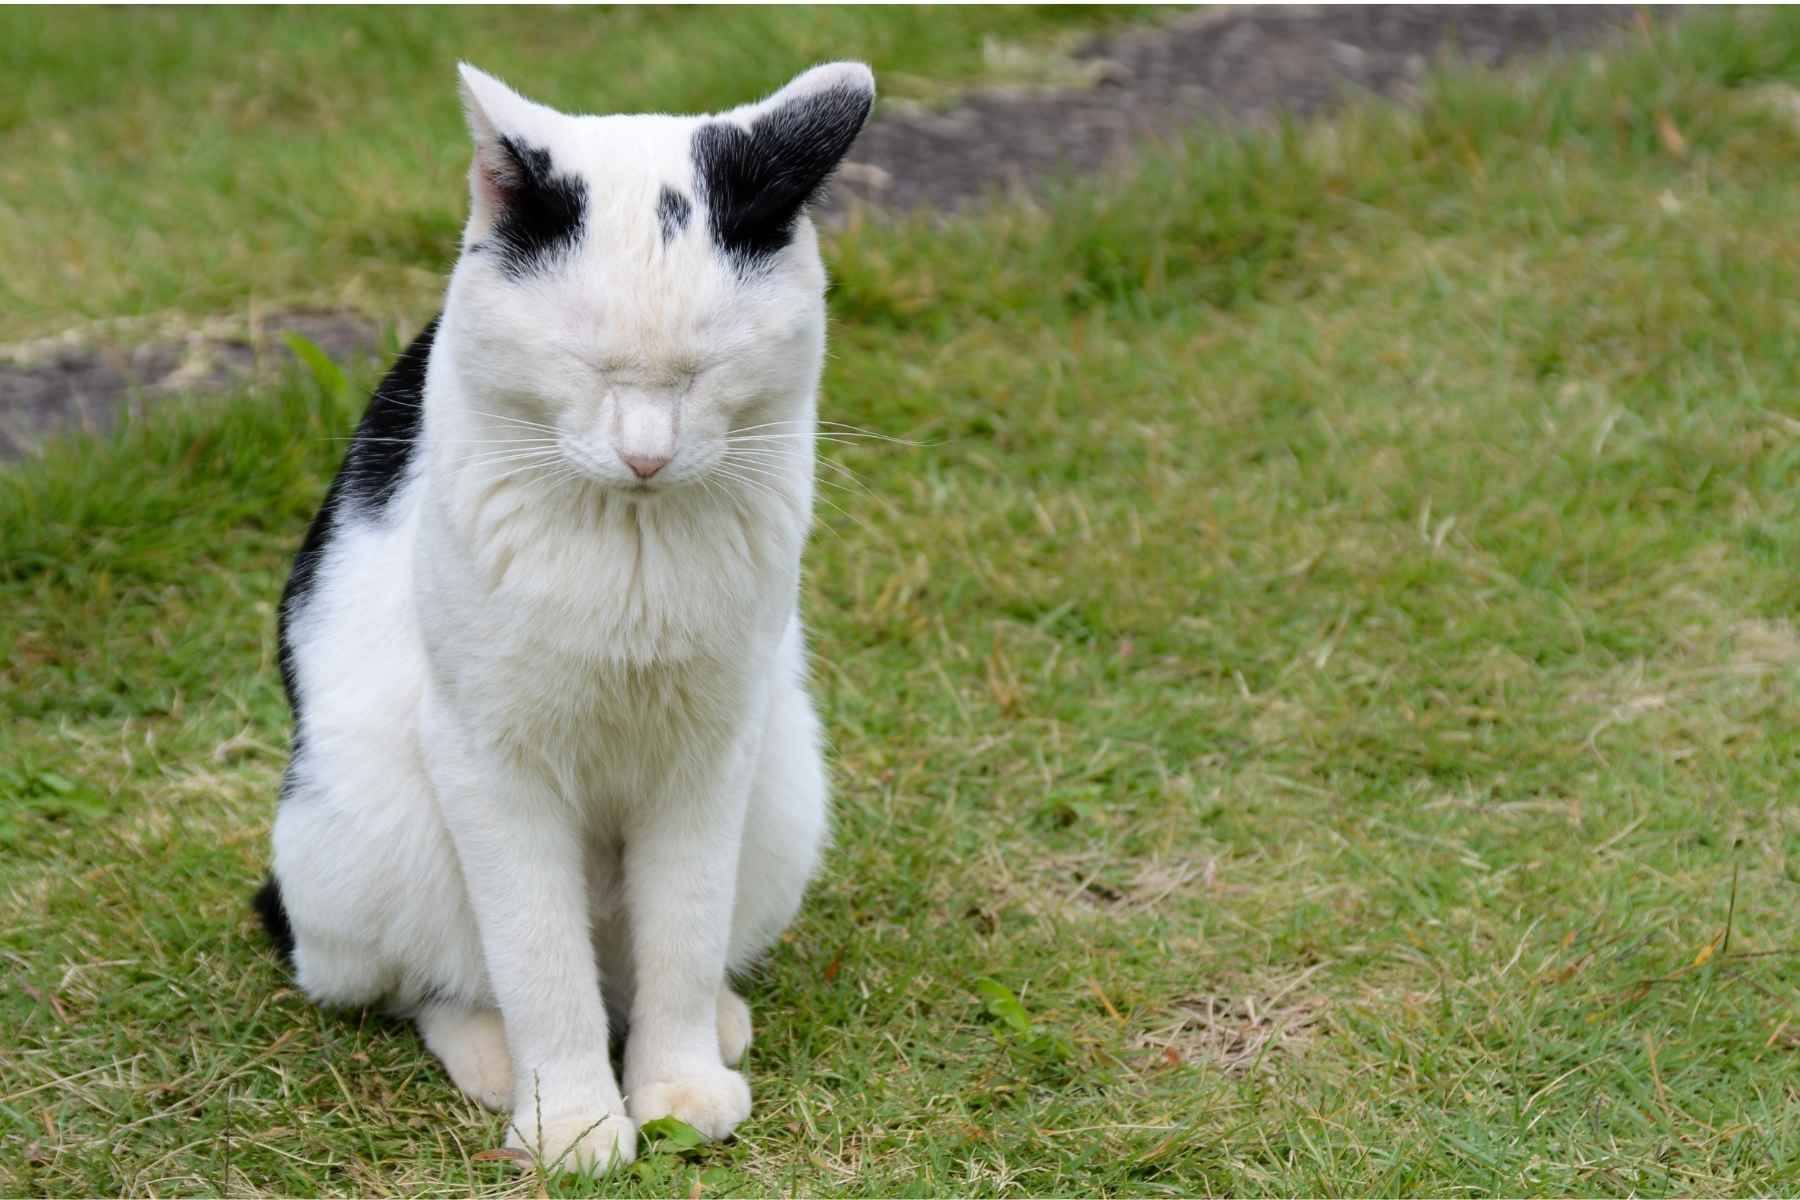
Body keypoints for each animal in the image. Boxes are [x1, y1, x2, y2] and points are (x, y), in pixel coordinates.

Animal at [253, 61, 871, 1180]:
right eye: (585, 362)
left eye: (706, 367)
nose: (646, 454)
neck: (633, 542)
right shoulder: (489, 759)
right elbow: (539, 958)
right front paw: (573, 1123)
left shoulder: (711, 748)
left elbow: (683, 932)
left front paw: (676, 1089)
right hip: (365, 818)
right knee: (435, 981)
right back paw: (493, 1054)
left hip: (783, 783)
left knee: (646, 966)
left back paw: (715, 1022)